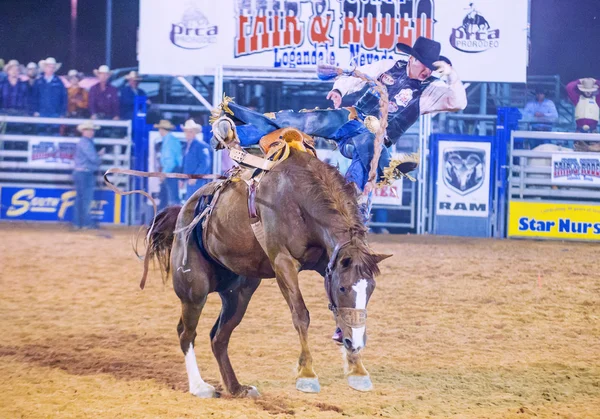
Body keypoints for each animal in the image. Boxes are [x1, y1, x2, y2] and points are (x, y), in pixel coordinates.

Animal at [145, 144, 390, 398]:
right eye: (342, 288)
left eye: (371, 289)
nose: (357, 343)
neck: (298, 198)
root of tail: (183, 210)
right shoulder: (283, 262)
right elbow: (301, 315)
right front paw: (307, 375)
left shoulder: (327, 263)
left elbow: (340, 315)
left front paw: (358, 370)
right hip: (194, 291)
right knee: (186, 333)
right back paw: (199, 386)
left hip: (239, 293)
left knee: (219, 337)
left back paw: (236, 388)